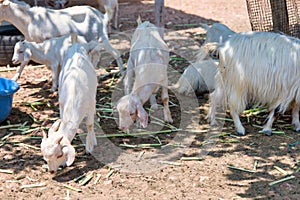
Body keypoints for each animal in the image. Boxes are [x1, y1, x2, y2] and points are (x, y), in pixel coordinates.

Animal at [40, 34, 97, 172]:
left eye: (59, 154)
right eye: (44, 156)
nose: (51, 171)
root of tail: (75, 43)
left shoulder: (90, 104)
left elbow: (90, 124)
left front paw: (89, 146)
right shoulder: (61, 103)